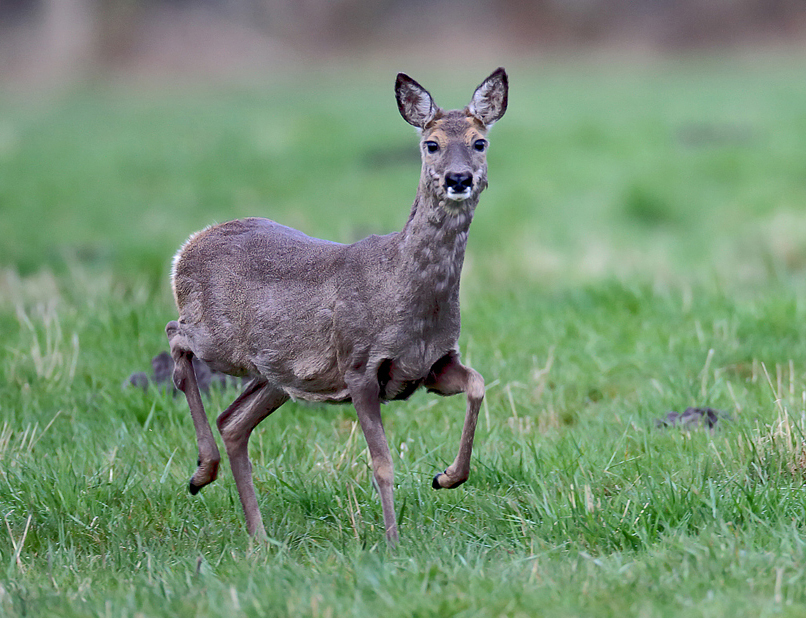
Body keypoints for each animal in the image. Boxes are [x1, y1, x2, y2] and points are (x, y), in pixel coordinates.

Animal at [167, 66, 512, 540]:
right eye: (431, 143)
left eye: (480, 142)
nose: (458, 179)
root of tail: (188, 247)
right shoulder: (359, 365)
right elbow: (382, 463)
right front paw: (392, 541)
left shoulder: (432, 365)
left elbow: (477, 385)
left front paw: (447, 477)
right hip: (219, 338)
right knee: (175, 336)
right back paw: (203, 472)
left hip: (280, 373)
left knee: (233, 422)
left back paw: (258, 535)